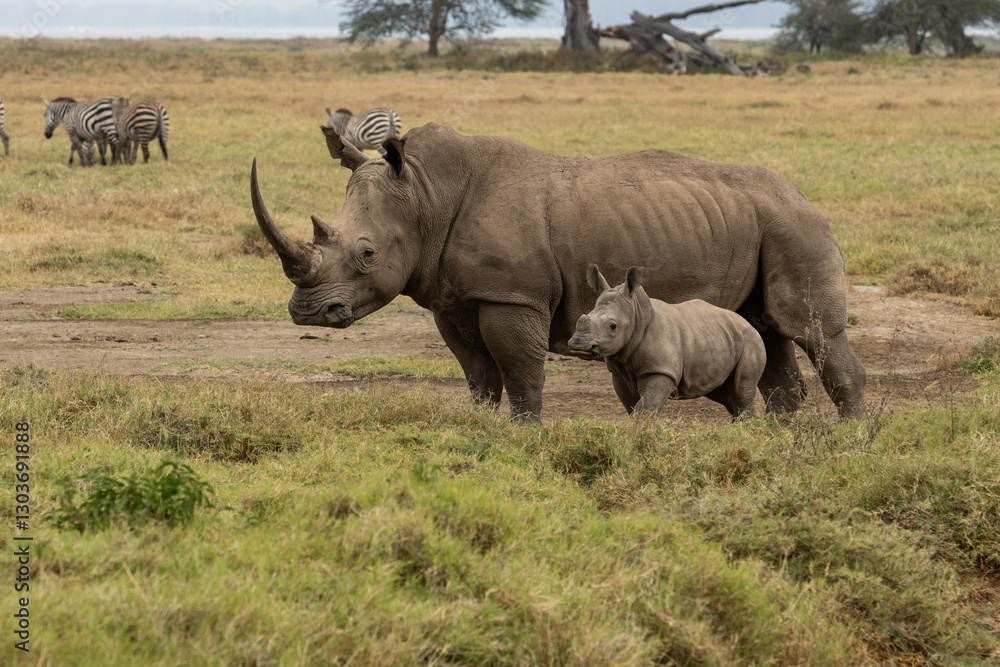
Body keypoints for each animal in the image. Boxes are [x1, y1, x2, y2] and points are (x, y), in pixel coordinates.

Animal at [569, 265, 767, 419]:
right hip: (719, 336)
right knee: (725, 394)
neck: (637, 314)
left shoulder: (660, 370)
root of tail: (747, 322)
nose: (579, 344)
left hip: (751, 340)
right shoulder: (618, 373)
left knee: (741, 391)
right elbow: (633, 409)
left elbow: (645, 409)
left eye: (613, 326)